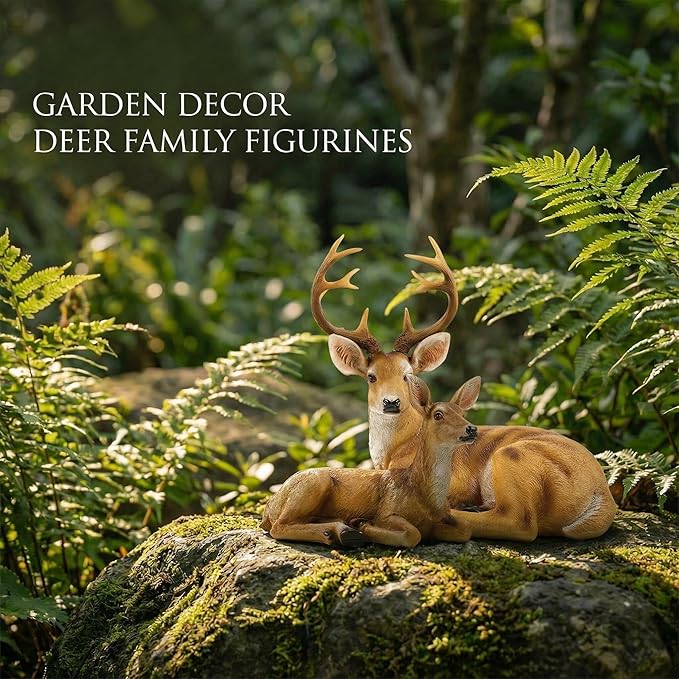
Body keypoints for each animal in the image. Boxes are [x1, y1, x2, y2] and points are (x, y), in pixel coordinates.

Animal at [260, 375, 479, 548]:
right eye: (438, 415)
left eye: (462, 414)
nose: (471, 428)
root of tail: (269, 508)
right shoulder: (387, 510)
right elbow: (412, 535)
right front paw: (365, 526)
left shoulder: (445, 514)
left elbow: (466, 529)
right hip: (313, 484)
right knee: (279, 527)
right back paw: (345, 532)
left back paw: (343, 530)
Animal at [310, 236, 618, 541]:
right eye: (371, 377)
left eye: (408, 375)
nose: (391, 402)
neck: (396, 450)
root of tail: (602, 496)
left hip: (512, 456)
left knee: (521, 522)